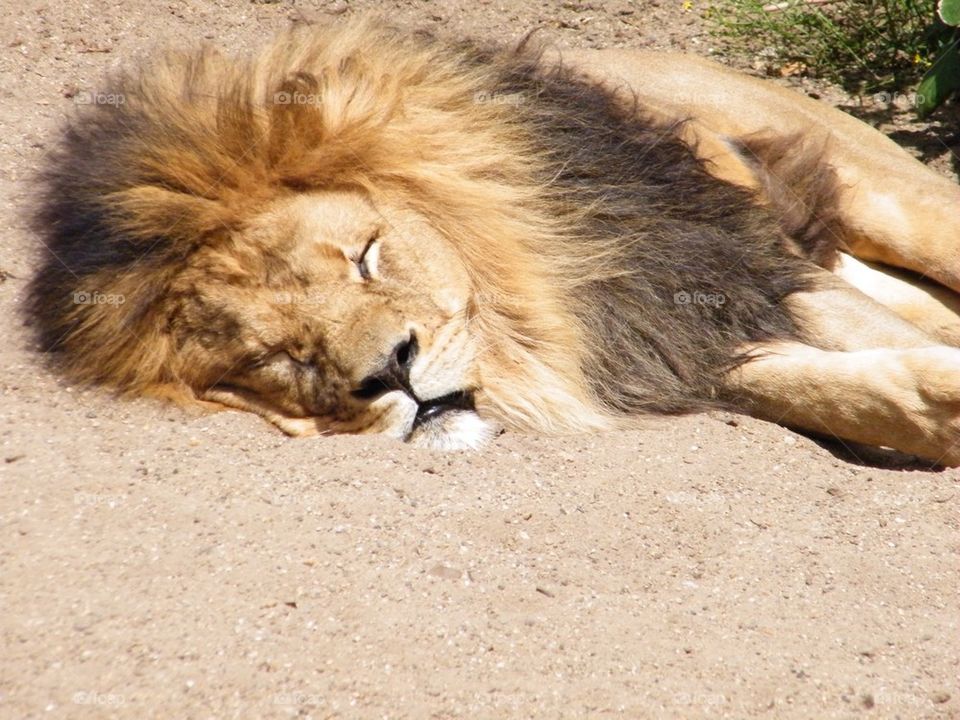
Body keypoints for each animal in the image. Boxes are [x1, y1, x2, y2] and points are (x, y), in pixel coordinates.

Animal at [26, 18, 960, 464]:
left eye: (367, 256)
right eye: (276, 358)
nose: (392, 372)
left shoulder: (732, 267)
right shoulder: (671, 341)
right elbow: (826, 389)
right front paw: (930, 405)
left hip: (889, 197)